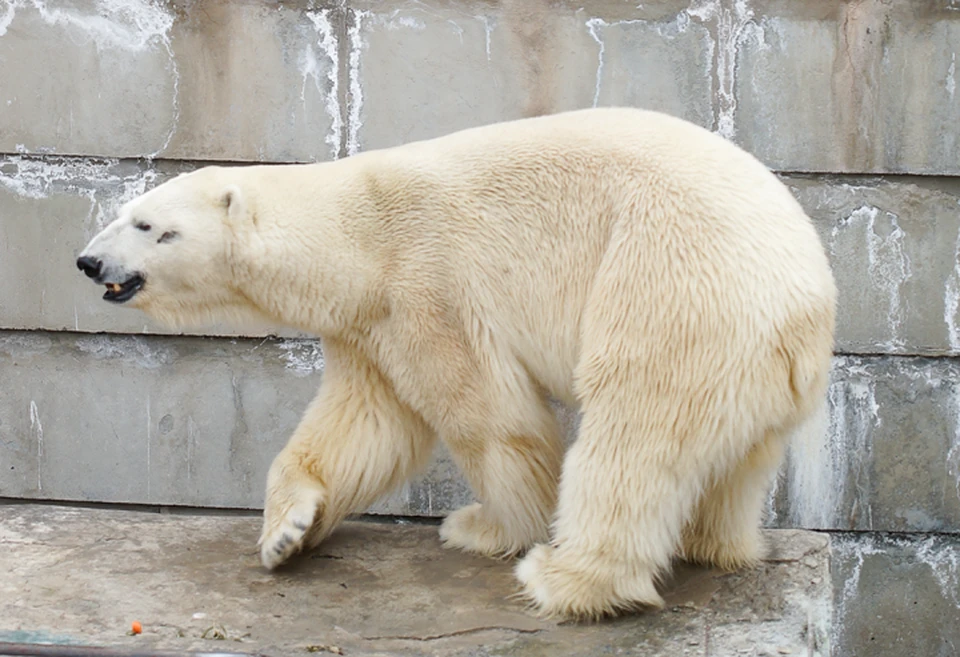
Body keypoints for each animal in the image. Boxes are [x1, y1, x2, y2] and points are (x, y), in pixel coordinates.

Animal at [79, 107, 836, 620]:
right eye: (123, 212)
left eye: (148, 225)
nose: (88, 261)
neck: (356, 234)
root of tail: (806, 301)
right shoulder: (369, 321)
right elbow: (365, 423)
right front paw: (286, 534)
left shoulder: (427, 282)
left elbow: (489, 416)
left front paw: (485, 528)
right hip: (742, 358)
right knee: (731, 460)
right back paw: (714, 545)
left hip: (673, 288)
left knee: (633, 434)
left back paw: (567, 578)